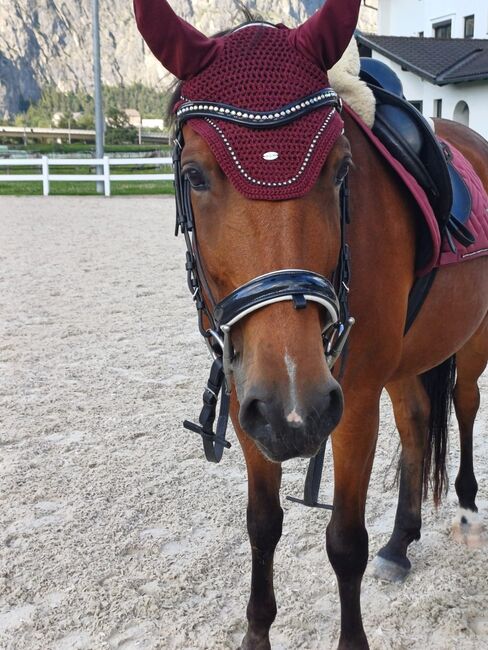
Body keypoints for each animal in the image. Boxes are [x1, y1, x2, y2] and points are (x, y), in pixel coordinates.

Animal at [134, 1, 488, 647]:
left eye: (342, 168)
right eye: (194, 175)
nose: (294, 407)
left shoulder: (351, 404)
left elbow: (345, 543)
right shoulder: (249, 397)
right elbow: (261, 525)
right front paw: (256, 633)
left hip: (471, 339)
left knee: (467, 404)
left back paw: (469, 510)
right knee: (417, 420)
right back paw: (401, 542)